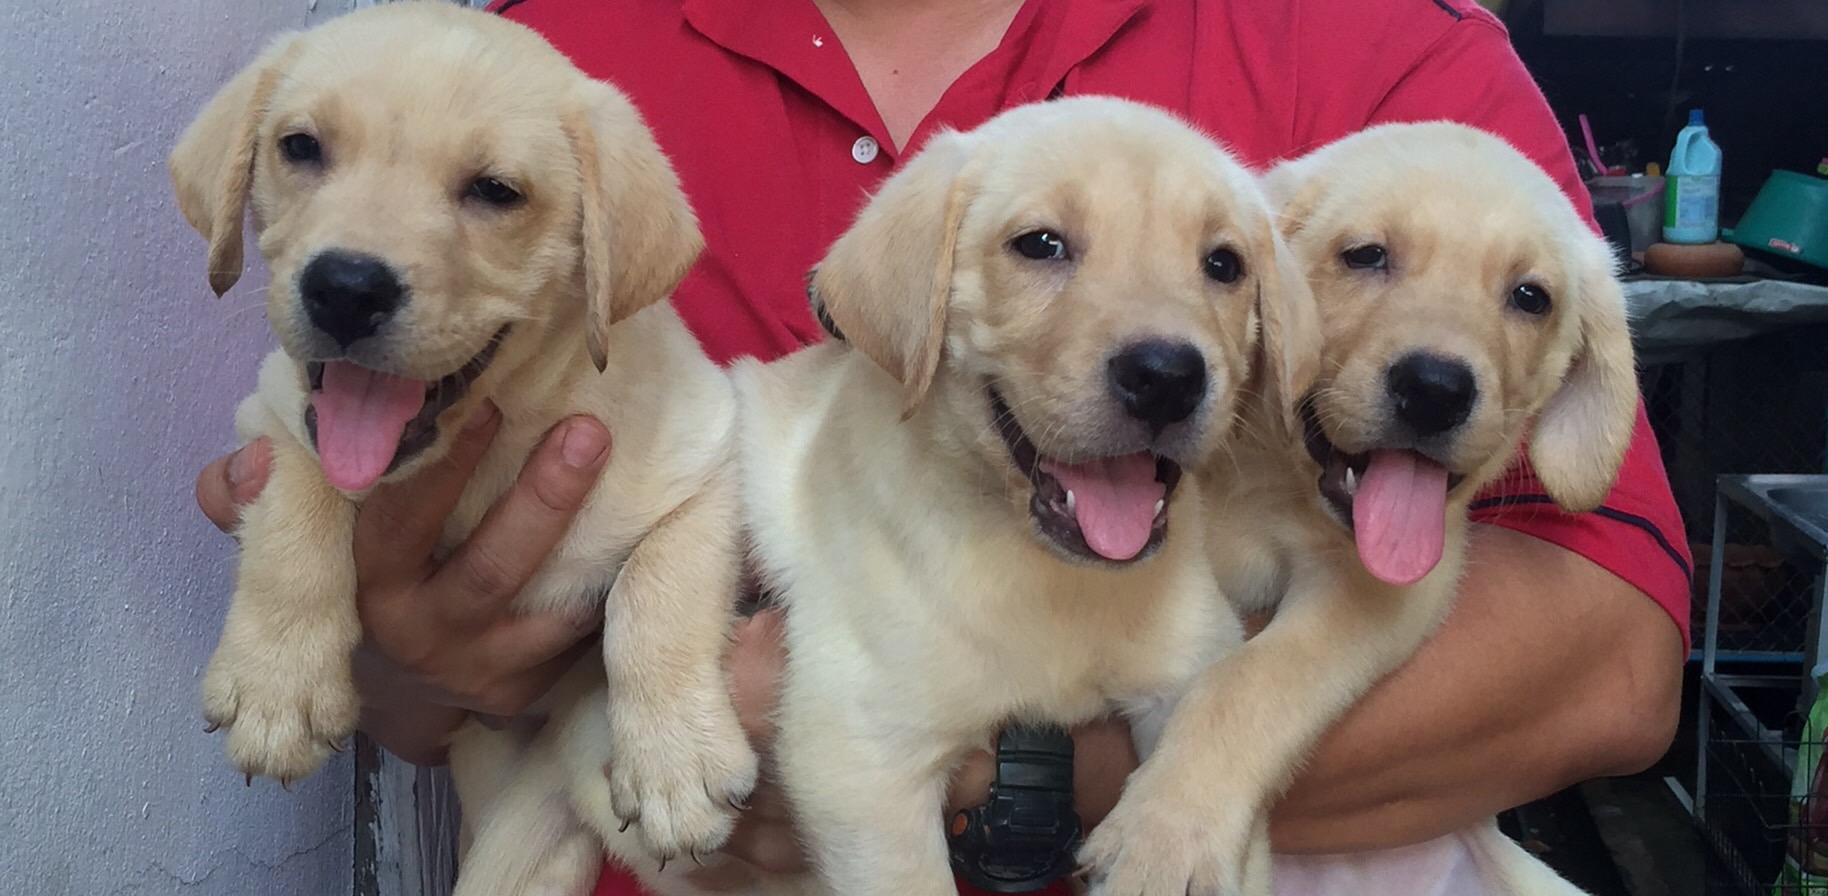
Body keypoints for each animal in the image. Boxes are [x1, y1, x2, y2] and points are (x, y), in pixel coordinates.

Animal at [168, 4, 757, 893]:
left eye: (495, 191)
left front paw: (675, 761)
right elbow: (297, 504)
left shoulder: (710, 451)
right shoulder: (272, 411)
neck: (501, 436)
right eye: (300, 147)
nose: (345, 289)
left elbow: (658, 589)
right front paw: (278, 683)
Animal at [723, 96, 1314, 895]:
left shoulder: (1184, 668)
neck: (1052, 581)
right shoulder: (861, 757)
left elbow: (1218, 716)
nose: (1167, 376)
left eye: (1224, 264)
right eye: (1040, 245)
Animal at [1078, 122, 1640, 896]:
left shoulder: (1387, 592)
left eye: (1531, 296)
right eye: (1366, 255)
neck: (1270, 482)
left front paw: (1169, 834)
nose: (1436, 390)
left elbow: (1249, 680)